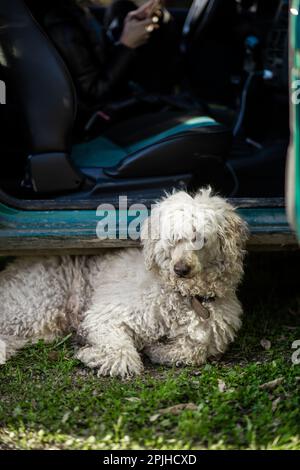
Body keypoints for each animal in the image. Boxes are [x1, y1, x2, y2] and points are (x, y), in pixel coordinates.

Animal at [0, 189, 247, 376]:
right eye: (173, 238)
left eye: (201, 238)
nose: (180, 269)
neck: (183, 295)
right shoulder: (107, 316)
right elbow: (122, 354)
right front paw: (92, 354)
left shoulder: (209, 336)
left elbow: (193, 352)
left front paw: (158, 349)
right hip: (39, 305)